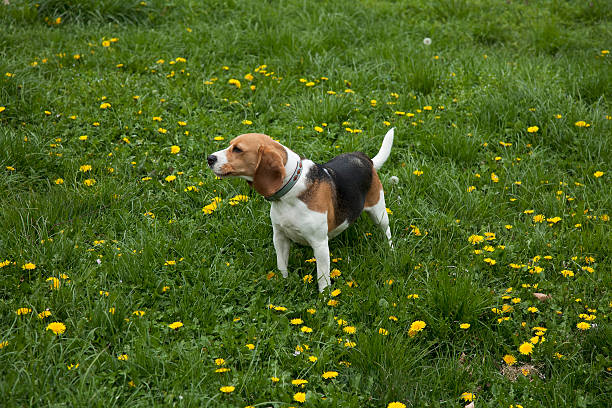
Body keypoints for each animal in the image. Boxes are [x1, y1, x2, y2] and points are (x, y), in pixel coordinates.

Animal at [208, 129, 394, 292]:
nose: (209, 158)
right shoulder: (280, 236)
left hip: (379, 211)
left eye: (237, 149)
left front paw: (324, 297)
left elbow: (322, 276)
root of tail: (363, 157)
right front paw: (283, 281)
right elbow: (281, 264)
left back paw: (390, 250)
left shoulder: (319, 244)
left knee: (387, 231)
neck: (290, 192)